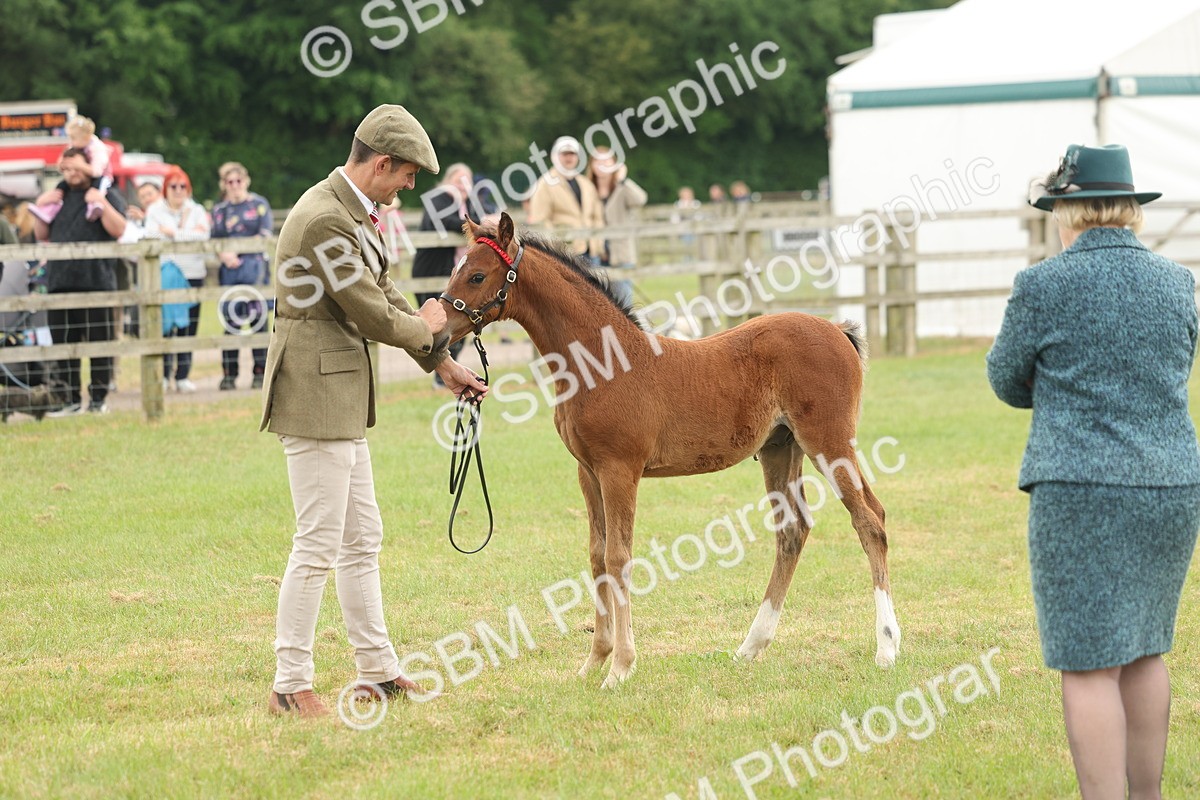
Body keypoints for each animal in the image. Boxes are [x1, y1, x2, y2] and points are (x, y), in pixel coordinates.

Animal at [438, 212, 900, 689]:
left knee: (870, 520)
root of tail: (837, 330)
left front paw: (620, 667)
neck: (604, 364)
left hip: (828, 441)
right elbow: (596, 556)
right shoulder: (588, 471)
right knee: (793, 530)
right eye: (456, 269)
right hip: (780, 449)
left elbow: (618, 556)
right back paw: (751, 646)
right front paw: (593, 661)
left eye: (477, 275)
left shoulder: (619, 469)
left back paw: (886, 648)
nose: (438, 329)